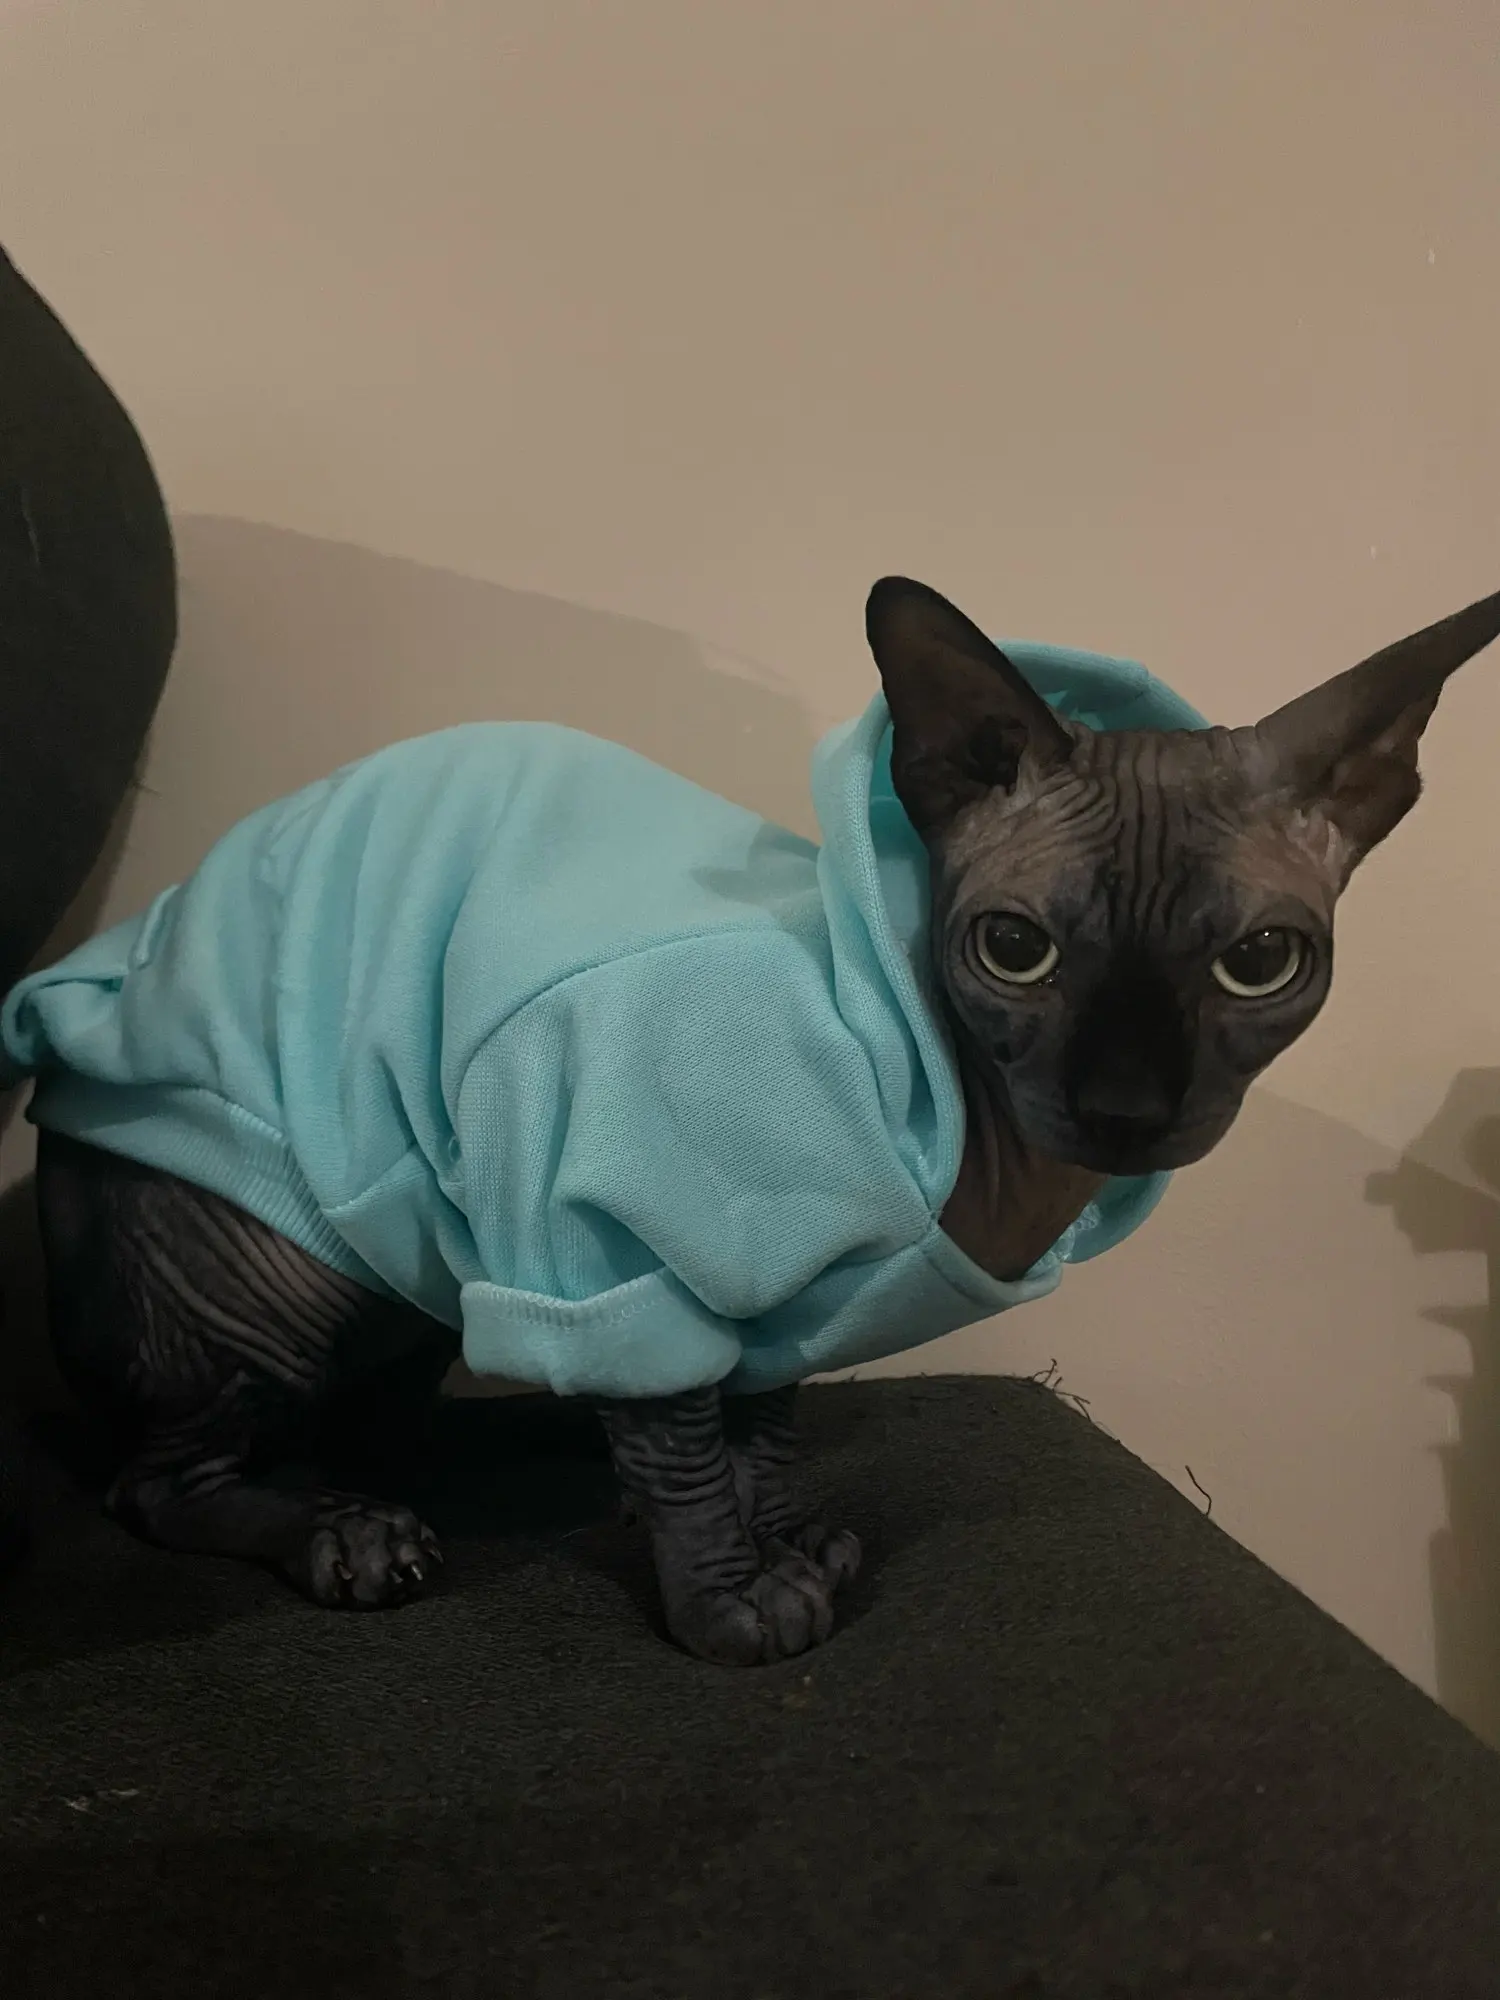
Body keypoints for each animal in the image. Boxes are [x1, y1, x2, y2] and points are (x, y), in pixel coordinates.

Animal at [6, 575, 1496, 1665]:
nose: (1125, 1106)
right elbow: (680, 1443)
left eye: (1262, 963)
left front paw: (780, 1531)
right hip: (282, 1263)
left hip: (416, 1275)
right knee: (158, 1480)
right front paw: (730, 1598)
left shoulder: (788, 1301)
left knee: (374, 1412)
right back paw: (350, 1533)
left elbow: (762, 1421)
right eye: (1016, 948)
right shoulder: (604, 1236)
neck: (989, 1169)